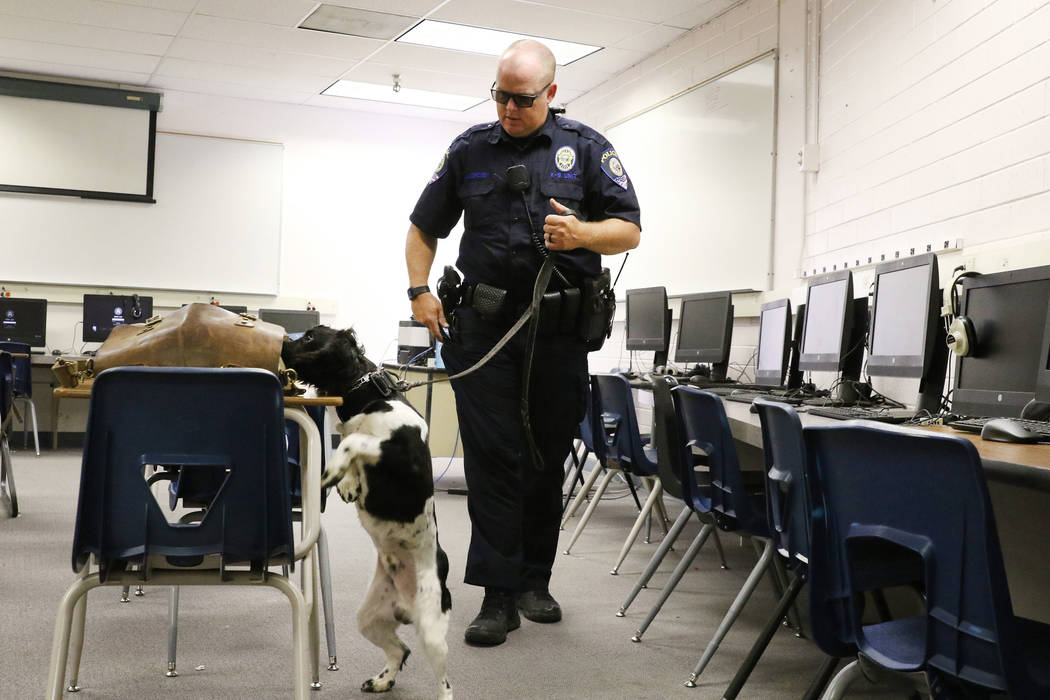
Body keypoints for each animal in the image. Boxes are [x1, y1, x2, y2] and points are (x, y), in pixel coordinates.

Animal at [283, 325, 451, 696]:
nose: (282, 340)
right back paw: (382, 681)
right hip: (370, 618)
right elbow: (352, 443)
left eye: (310, 338)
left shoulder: (399, 454)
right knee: (400, 649)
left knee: (446, 682)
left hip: (432, 626)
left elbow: (352, 441)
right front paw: (347, 481)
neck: (373, 396)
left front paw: (332, 473)